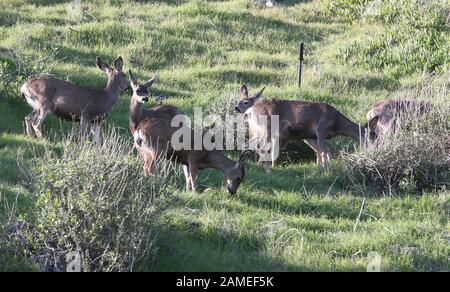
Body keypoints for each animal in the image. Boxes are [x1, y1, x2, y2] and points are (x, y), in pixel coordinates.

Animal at [234, 84, 364, 172]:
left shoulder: (310, 136)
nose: (236, 108)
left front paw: (322, 167)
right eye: (239, 101)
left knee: (250, 144)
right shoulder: (321, 130)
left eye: (245, 102)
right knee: (256, 145)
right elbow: (323, 150)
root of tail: (251, 111)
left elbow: (321, 151)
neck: (337, 123)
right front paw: (324, 168)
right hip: (267, 129)